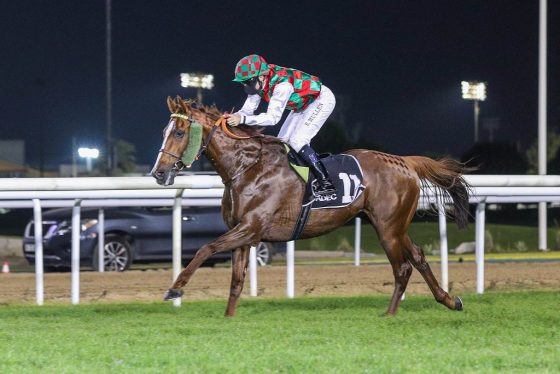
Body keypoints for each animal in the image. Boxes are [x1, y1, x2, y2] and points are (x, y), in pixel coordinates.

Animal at [151, 95, 470, 316]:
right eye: (164, 130)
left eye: (179, 132)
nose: (159, 173)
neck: (247, 168)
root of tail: (404, 162)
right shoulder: (244, 234)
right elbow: (237, 280)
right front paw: (229, 317)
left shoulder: (250, 228)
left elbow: (205, 248)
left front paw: (174, 289)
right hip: (396, 226)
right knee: (418, 257)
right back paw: (449, 300)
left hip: (388, 228)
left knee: (402, 267)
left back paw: (390, 313)